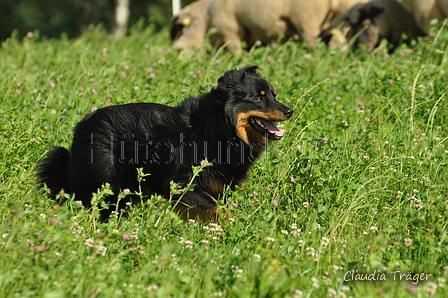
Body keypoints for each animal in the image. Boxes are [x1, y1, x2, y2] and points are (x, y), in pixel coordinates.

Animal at [36, 66, 292, 221]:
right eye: (258, 98)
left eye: (274, 95)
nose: (290, 111)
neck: (217, 128)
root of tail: (83, 124)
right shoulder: (180, 184)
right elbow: (215, 208)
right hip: (105, 182)